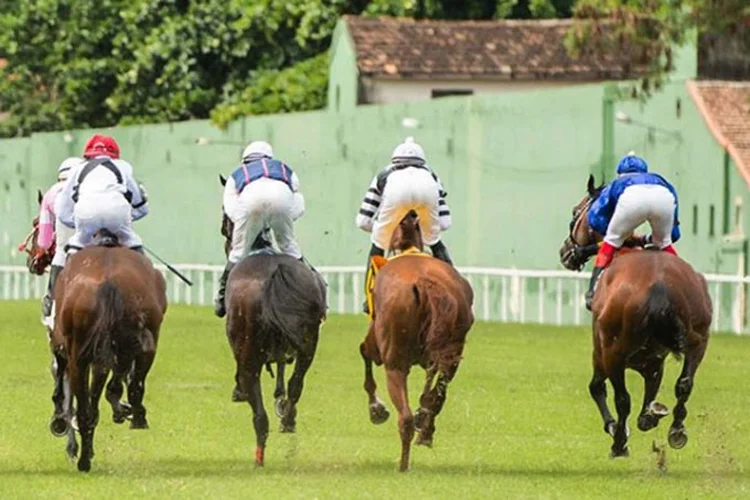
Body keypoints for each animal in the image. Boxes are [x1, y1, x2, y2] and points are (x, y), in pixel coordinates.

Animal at [50, 240, 167, 470]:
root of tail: (107, 283)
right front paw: (128, 410)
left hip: (80, 353)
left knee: (85, 405)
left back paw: (83, 457)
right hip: (135, 340)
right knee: (124, 383)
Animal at [220, 210, 326, 464]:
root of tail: (276, 272)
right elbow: (283, 373)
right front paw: (281, 400)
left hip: (249, 351)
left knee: (256, 405)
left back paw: (260, 453)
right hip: (309, 343)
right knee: (296, 383)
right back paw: (287, 419)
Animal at [360, 211, 476, 472]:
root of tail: (424, 282)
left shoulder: (376, 342)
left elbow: (365, 354)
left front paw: (376, 409)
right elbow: (432, 394)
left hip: (395, 362)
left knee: (404, 417)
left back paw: (403, 464)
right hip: (453, 352)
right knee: (437, 396)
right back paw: (424, 429)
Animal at [560, 175, 712, 458]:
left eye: (575, 212)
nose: (565, 252)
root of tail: (660, 286)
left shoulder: (601, 351)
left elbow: (597, 387)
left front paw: (615, 429)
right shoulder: (653, 362)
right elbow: (650, 398)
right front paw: (651, 415)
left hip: (612, 352)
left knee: (622, 398)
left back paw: (619, 442)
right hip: (699, 338)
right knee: (685, 383)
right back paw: (676, 430)